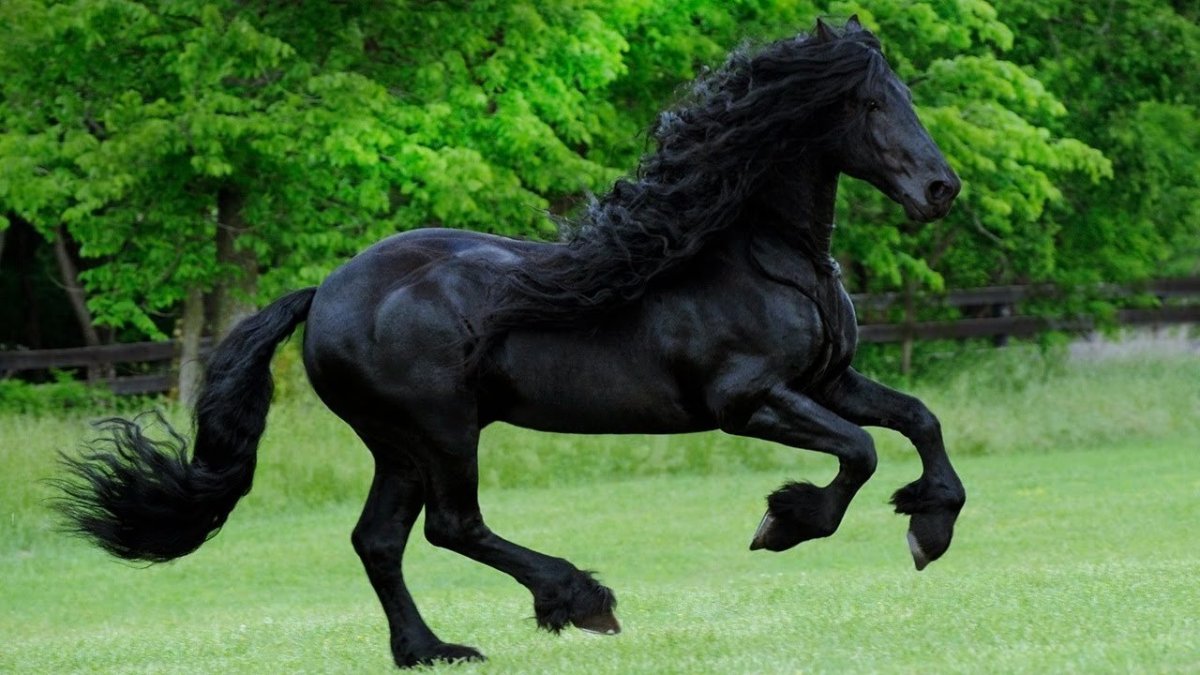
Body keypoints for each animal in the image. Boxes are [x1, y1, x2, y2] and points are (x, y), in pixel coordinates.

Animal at [57, 17, 965, 668]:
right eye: (868, 105)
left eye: (902, 95)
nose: (940, 188)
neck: (756, 255)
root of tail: (327, 292)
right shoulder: (747, 401)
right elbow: (859, 454)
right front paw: (785, 522)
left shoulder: (832, 380)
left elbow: (918, 421)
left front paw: (930, 527)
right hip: (442, 431)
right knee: (453, 526)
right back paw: (580, 598)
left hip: (399, 446)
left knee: (379, 539)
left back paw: (430, 650)